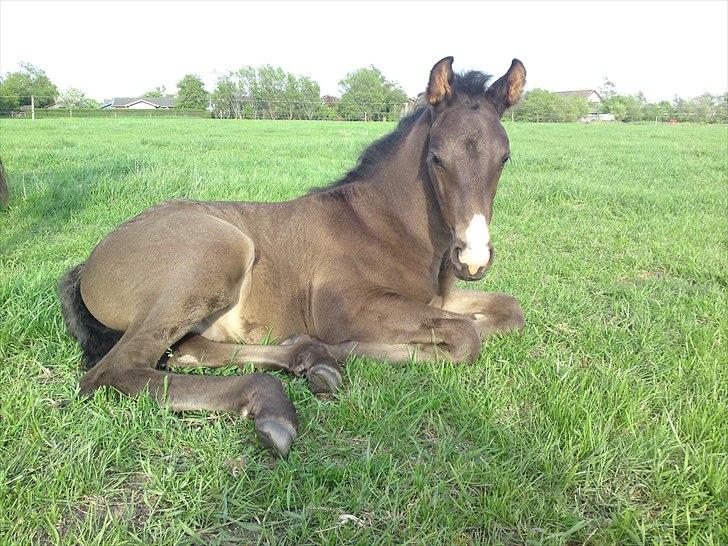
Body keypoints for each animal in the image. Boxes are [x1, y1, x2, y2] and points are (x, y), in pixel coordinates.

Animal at [57, 56, 524, 454]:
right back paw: (274, 402)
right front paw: (343, 348)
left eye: (504, 157)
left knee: (192, 351)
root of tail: (89, 263)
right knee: (116, 371)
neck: (384, 224)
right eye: (437, 158)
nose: (473, 258)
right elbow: (466, 336)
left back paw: (308, 360)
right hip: (216, 251)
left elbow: (508, 312)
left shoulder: (441, 298)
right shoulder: (343, 308)